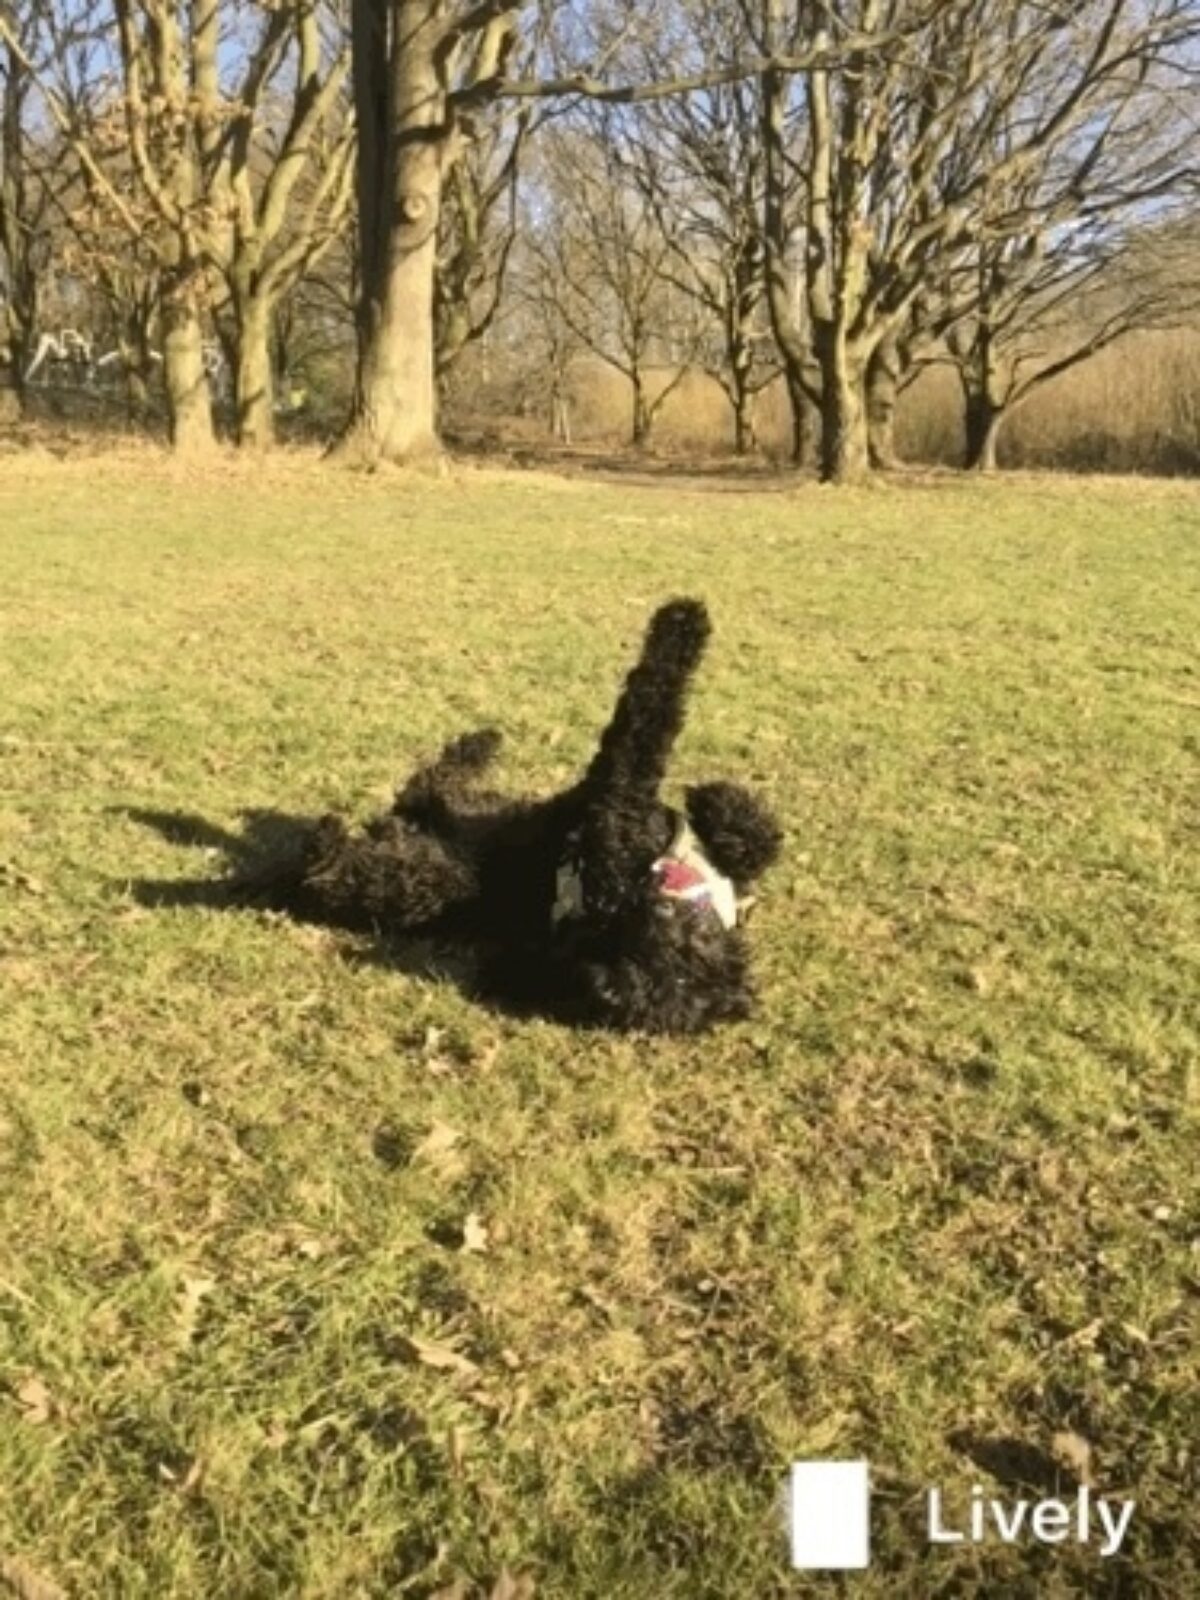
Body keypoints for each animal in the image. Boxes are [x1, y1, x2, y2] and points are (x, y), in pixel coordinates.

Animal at [236, 601, 780, 1036]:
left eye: (664, 975)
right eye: (685, 966)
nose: (644, 908)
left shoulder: (609, 818)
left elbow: (639, 731)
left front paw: (682, 621)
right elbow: (756, 837)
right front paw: (716, 801)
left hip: (423, 878)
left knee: (340, 868)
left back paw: (325, 841)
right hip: (464, 812)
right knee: (430, 783)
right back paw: (482, 742)